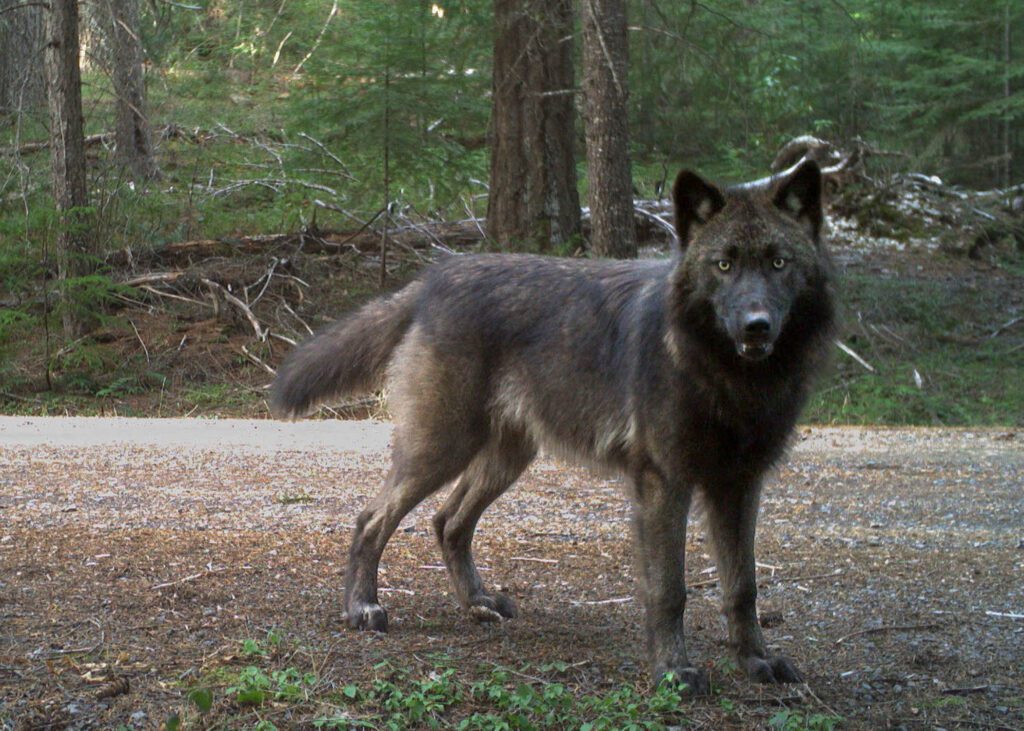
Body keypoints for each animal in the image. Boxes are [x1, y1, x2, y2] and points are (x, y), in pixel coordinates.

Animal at [271, 161, 835, 694]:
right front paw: (674, 672)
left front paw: (757, 662)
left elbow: (743, 587)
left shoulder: (739, 486)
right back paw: (362, 609)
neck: (725, 375)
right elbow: (669, 591)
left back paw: (477, 603)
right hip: (440, 450)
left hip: (505, 460)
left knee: (448, 522)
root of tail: (432, 280)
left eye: (778, 262)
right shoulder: (663, 484)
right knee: (372, 519)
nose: (756, 326)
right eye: (724, 265)